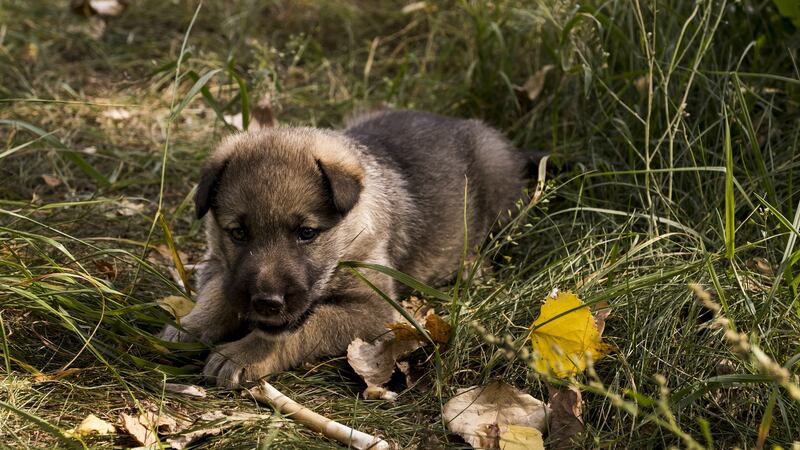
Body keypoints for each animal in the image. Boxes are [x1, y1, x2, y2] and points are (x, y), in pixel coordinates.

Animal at [161, 109, 524, 386]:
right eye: (237, 233)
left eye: (306, 233)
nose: (266, 302)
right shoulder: (220, 266)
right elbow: (216, 297)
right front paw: (189, 326)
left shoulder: (372, 309)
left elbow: (305, 325)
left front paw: (244, 353)